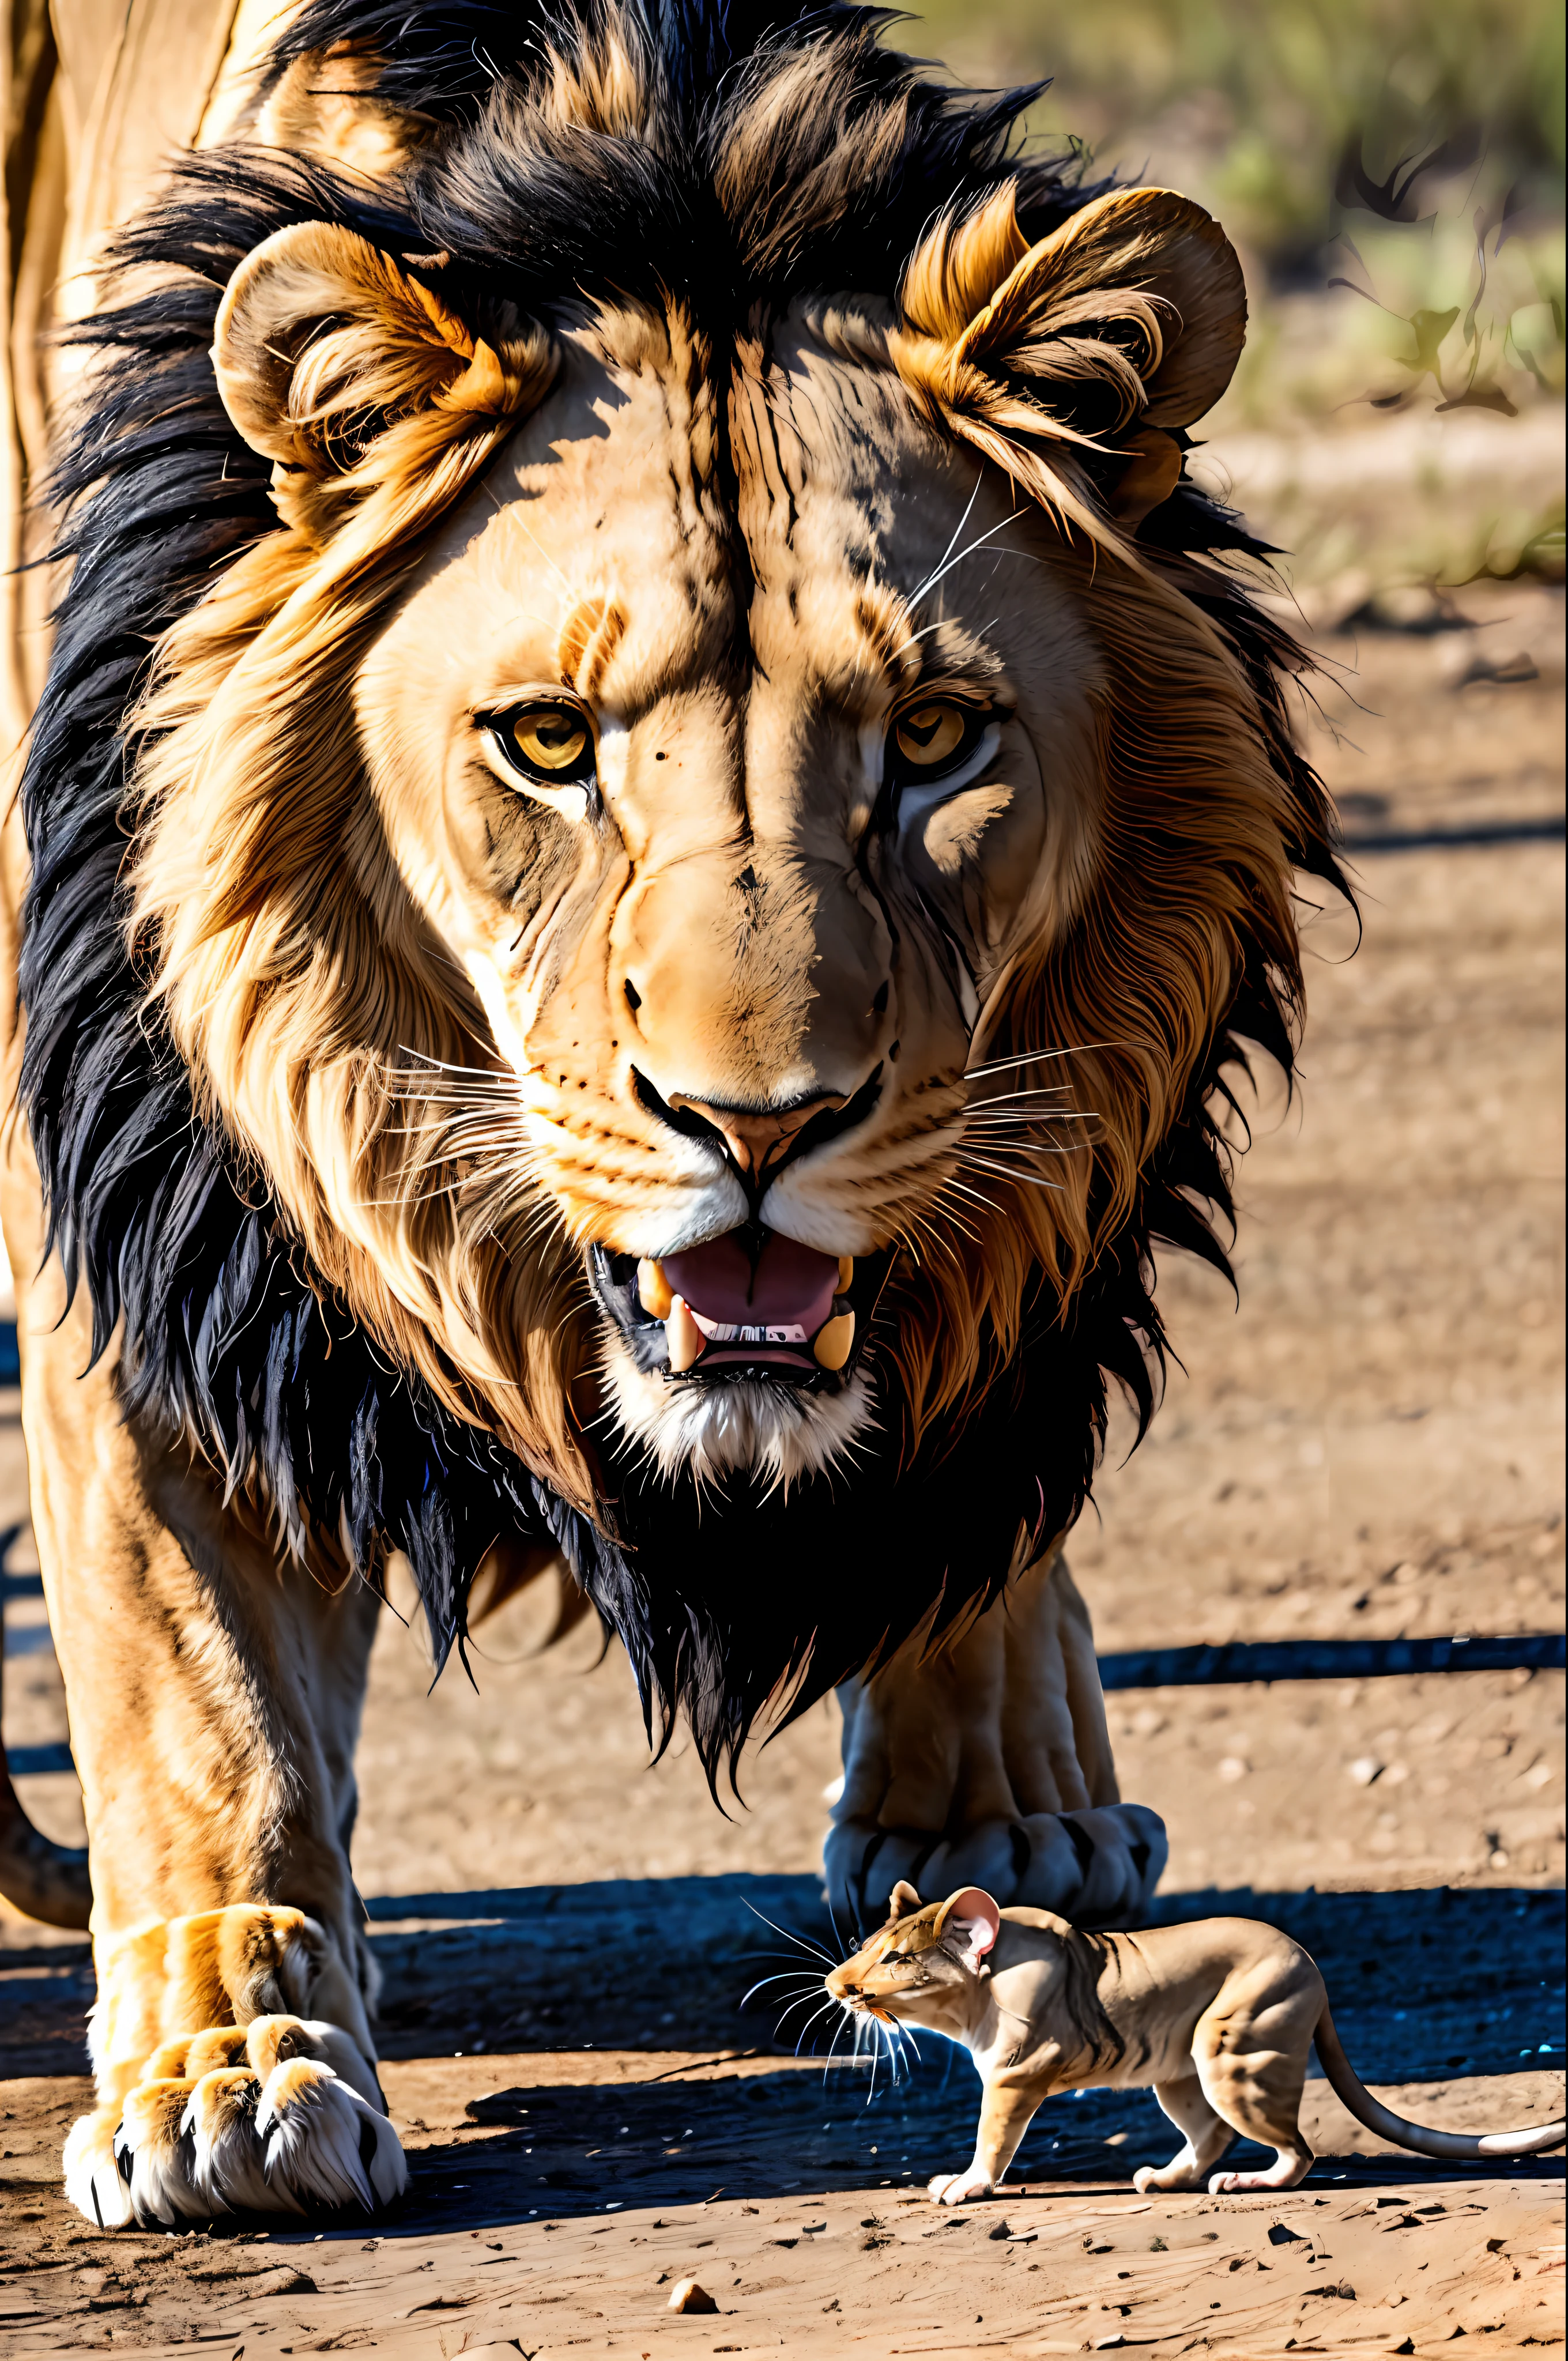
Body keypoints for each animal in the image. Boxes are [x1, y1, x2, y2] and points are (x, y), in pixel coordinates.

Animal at [0, 0, 1341, 2219]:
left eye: (935, 736)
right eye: (545, 743)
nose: (761, 1122)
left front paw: (985, 1820)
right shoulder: (149, 1170)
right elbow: (192, 1666)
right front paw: (226, 2065)